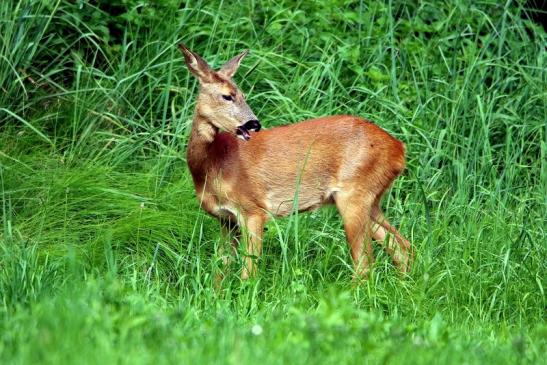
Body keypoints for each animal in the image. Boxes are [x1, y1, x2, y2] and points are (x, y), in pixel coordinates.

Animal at [182, 44, 414, 280]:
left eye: (243, 95)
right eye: (227, 96)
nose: (254, 123)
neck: (214, 165)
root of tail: (399, 149)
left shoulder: (254, 210)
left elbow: (249, 271)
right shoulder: (226, 220)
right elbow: (219, 270)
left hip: (354, 193)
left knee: (366, 263)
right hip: (370, 199)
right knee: (402, 247)